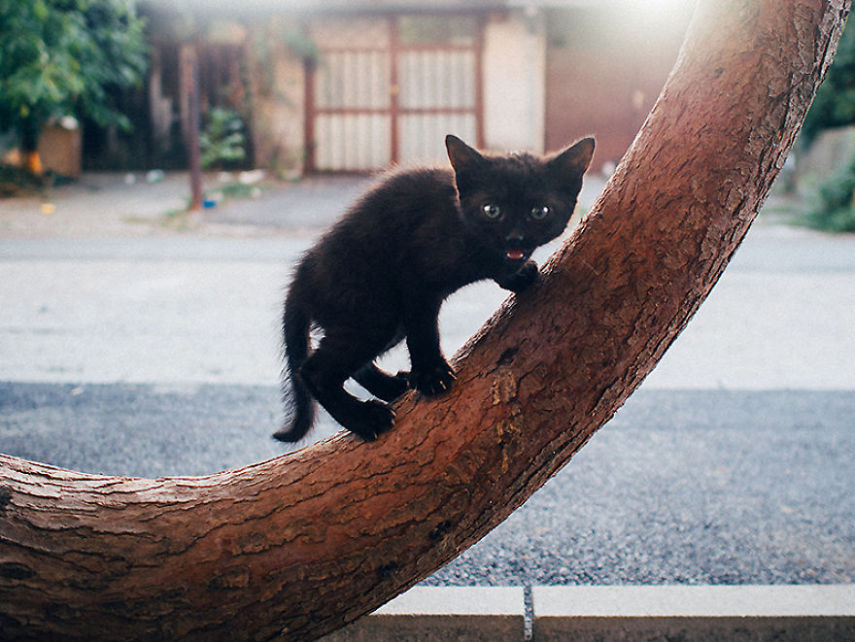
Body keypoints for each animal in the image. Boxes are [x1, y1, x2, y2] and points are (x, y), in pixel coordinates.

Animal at [276, 132, 596, 438]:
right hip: (374, 309)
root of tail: (302, 278)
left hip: (384, 323)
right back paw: (363, 418)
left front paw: (518, 274)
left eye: (540, 211)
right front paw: (431, 374)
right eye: (491, 210)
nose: (514, 238)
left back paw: (391, 387)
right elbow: (424, 330)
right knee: (314, 370)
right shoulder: (416, 278)